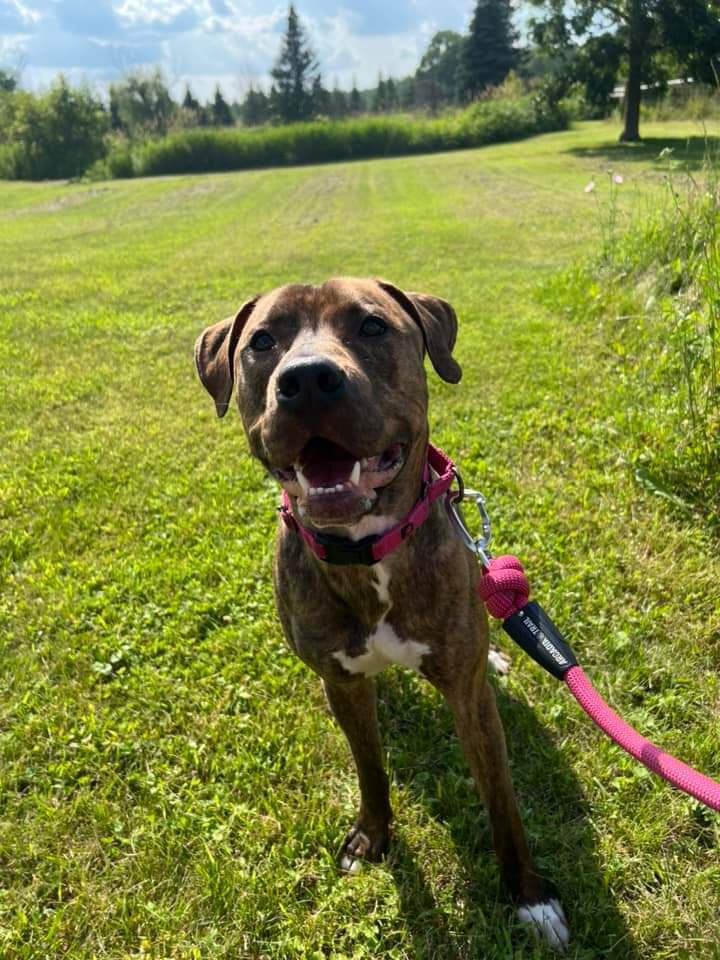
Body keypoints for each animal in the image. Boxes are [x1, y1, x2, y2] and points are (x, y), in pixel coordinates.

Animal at [194, 278, 572, 952]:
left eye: (372, 326)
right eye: (262, 341)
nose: (308, 380)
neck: (366, 549)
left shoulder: (467, 695)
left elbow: (501, 797)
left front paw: (530, 895)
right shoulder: (341, 683)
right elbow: (369, 766)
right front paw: (374, 835)